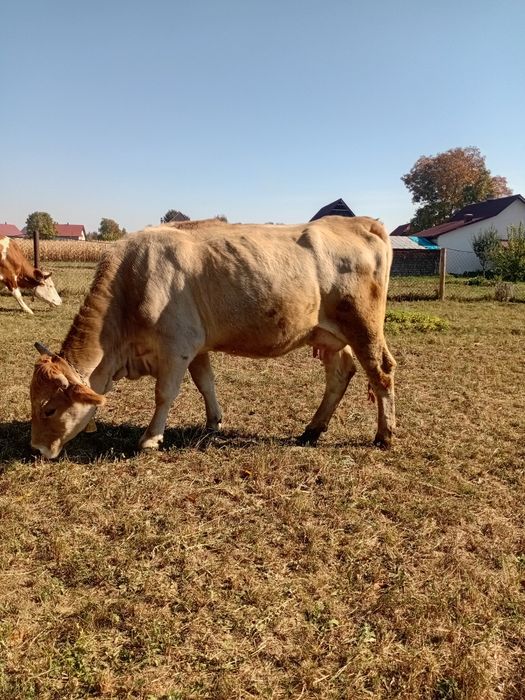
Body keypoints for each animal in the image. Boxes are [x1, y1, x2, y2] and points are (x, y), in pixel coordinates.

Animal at [30, 216, 396, 459]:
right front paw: (212, 423)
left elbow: (164, 393)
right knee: (340, 374)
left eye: (49, 409)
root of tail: (361, 222)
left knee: (381, 372)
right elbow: (206, 382)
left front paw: (151, 438)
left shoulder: (177, 346)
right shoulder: (197, 345)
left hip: (363, 326)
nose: (36, 448)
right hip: (329, 335)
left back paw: (384, 435)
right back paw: (312, 430)